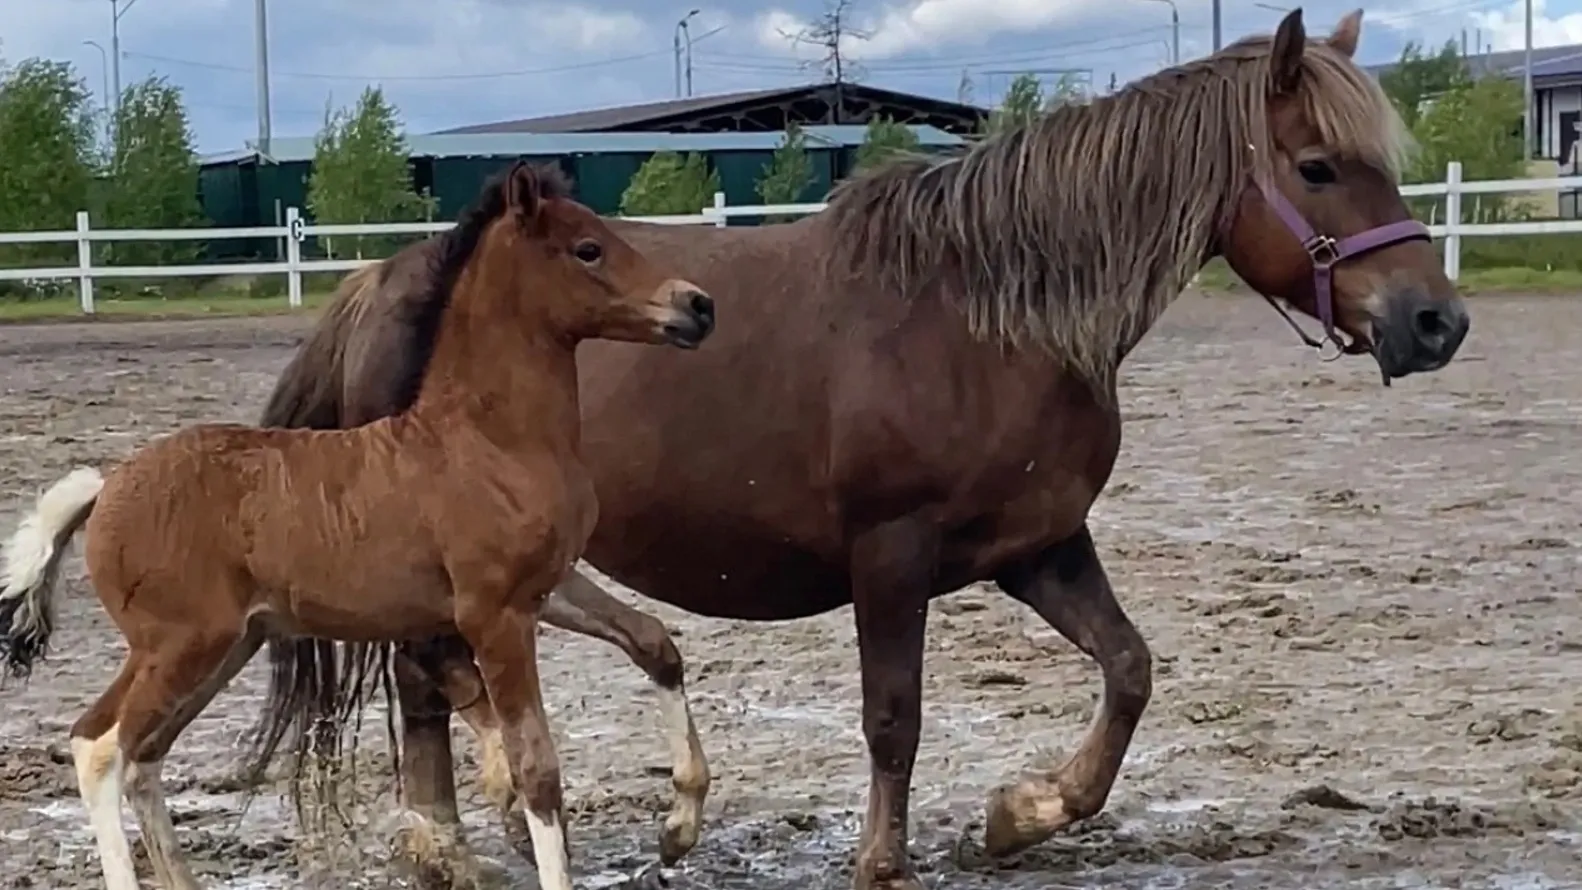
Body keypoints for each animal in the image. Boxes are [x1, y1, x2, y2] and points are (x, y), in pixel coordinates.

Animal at [0, 163, 718, 890]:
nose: (697, 306)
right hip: (179, 646)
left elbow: (653, 641)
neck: (489, 439)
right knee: (102, 747)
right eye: (588, 249)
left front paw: (678, 827)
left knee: (142, 753)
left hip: (225, 646)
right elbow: (536, 771)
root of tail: (105, 488)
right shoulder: (495, 614)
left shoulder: (549, 587)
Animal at [249, 10, 1468, 885]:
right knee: (425, 681)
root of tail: (377, 280)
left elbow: (1128, 670)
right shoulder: (892, 553)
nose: (1434, 321)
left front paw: (1020, 813)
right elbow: (894, 715)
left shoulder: (1039, 546)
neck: (986, 317)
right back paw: (449, 839)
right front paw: (885, 859)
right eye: (1317, 166)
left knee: (435, 679)